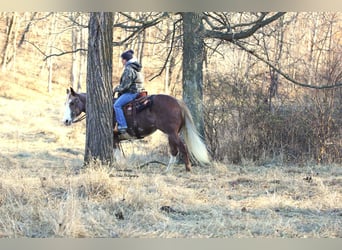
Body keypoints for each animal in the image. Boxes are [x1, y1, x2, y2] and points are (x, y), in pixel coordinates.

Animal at [62, 87, 210, 171]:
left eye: (72, 102)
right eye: (66, 103)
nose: (66, 121)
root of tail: (178, 102)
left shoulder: (114, 138)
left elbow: (117, 155)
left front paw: (121, 167)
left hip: (172, 133)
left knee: (182, 147)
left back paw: (188, 169)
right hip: (171, 134)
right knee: (174, 151)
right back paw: (167, 170)